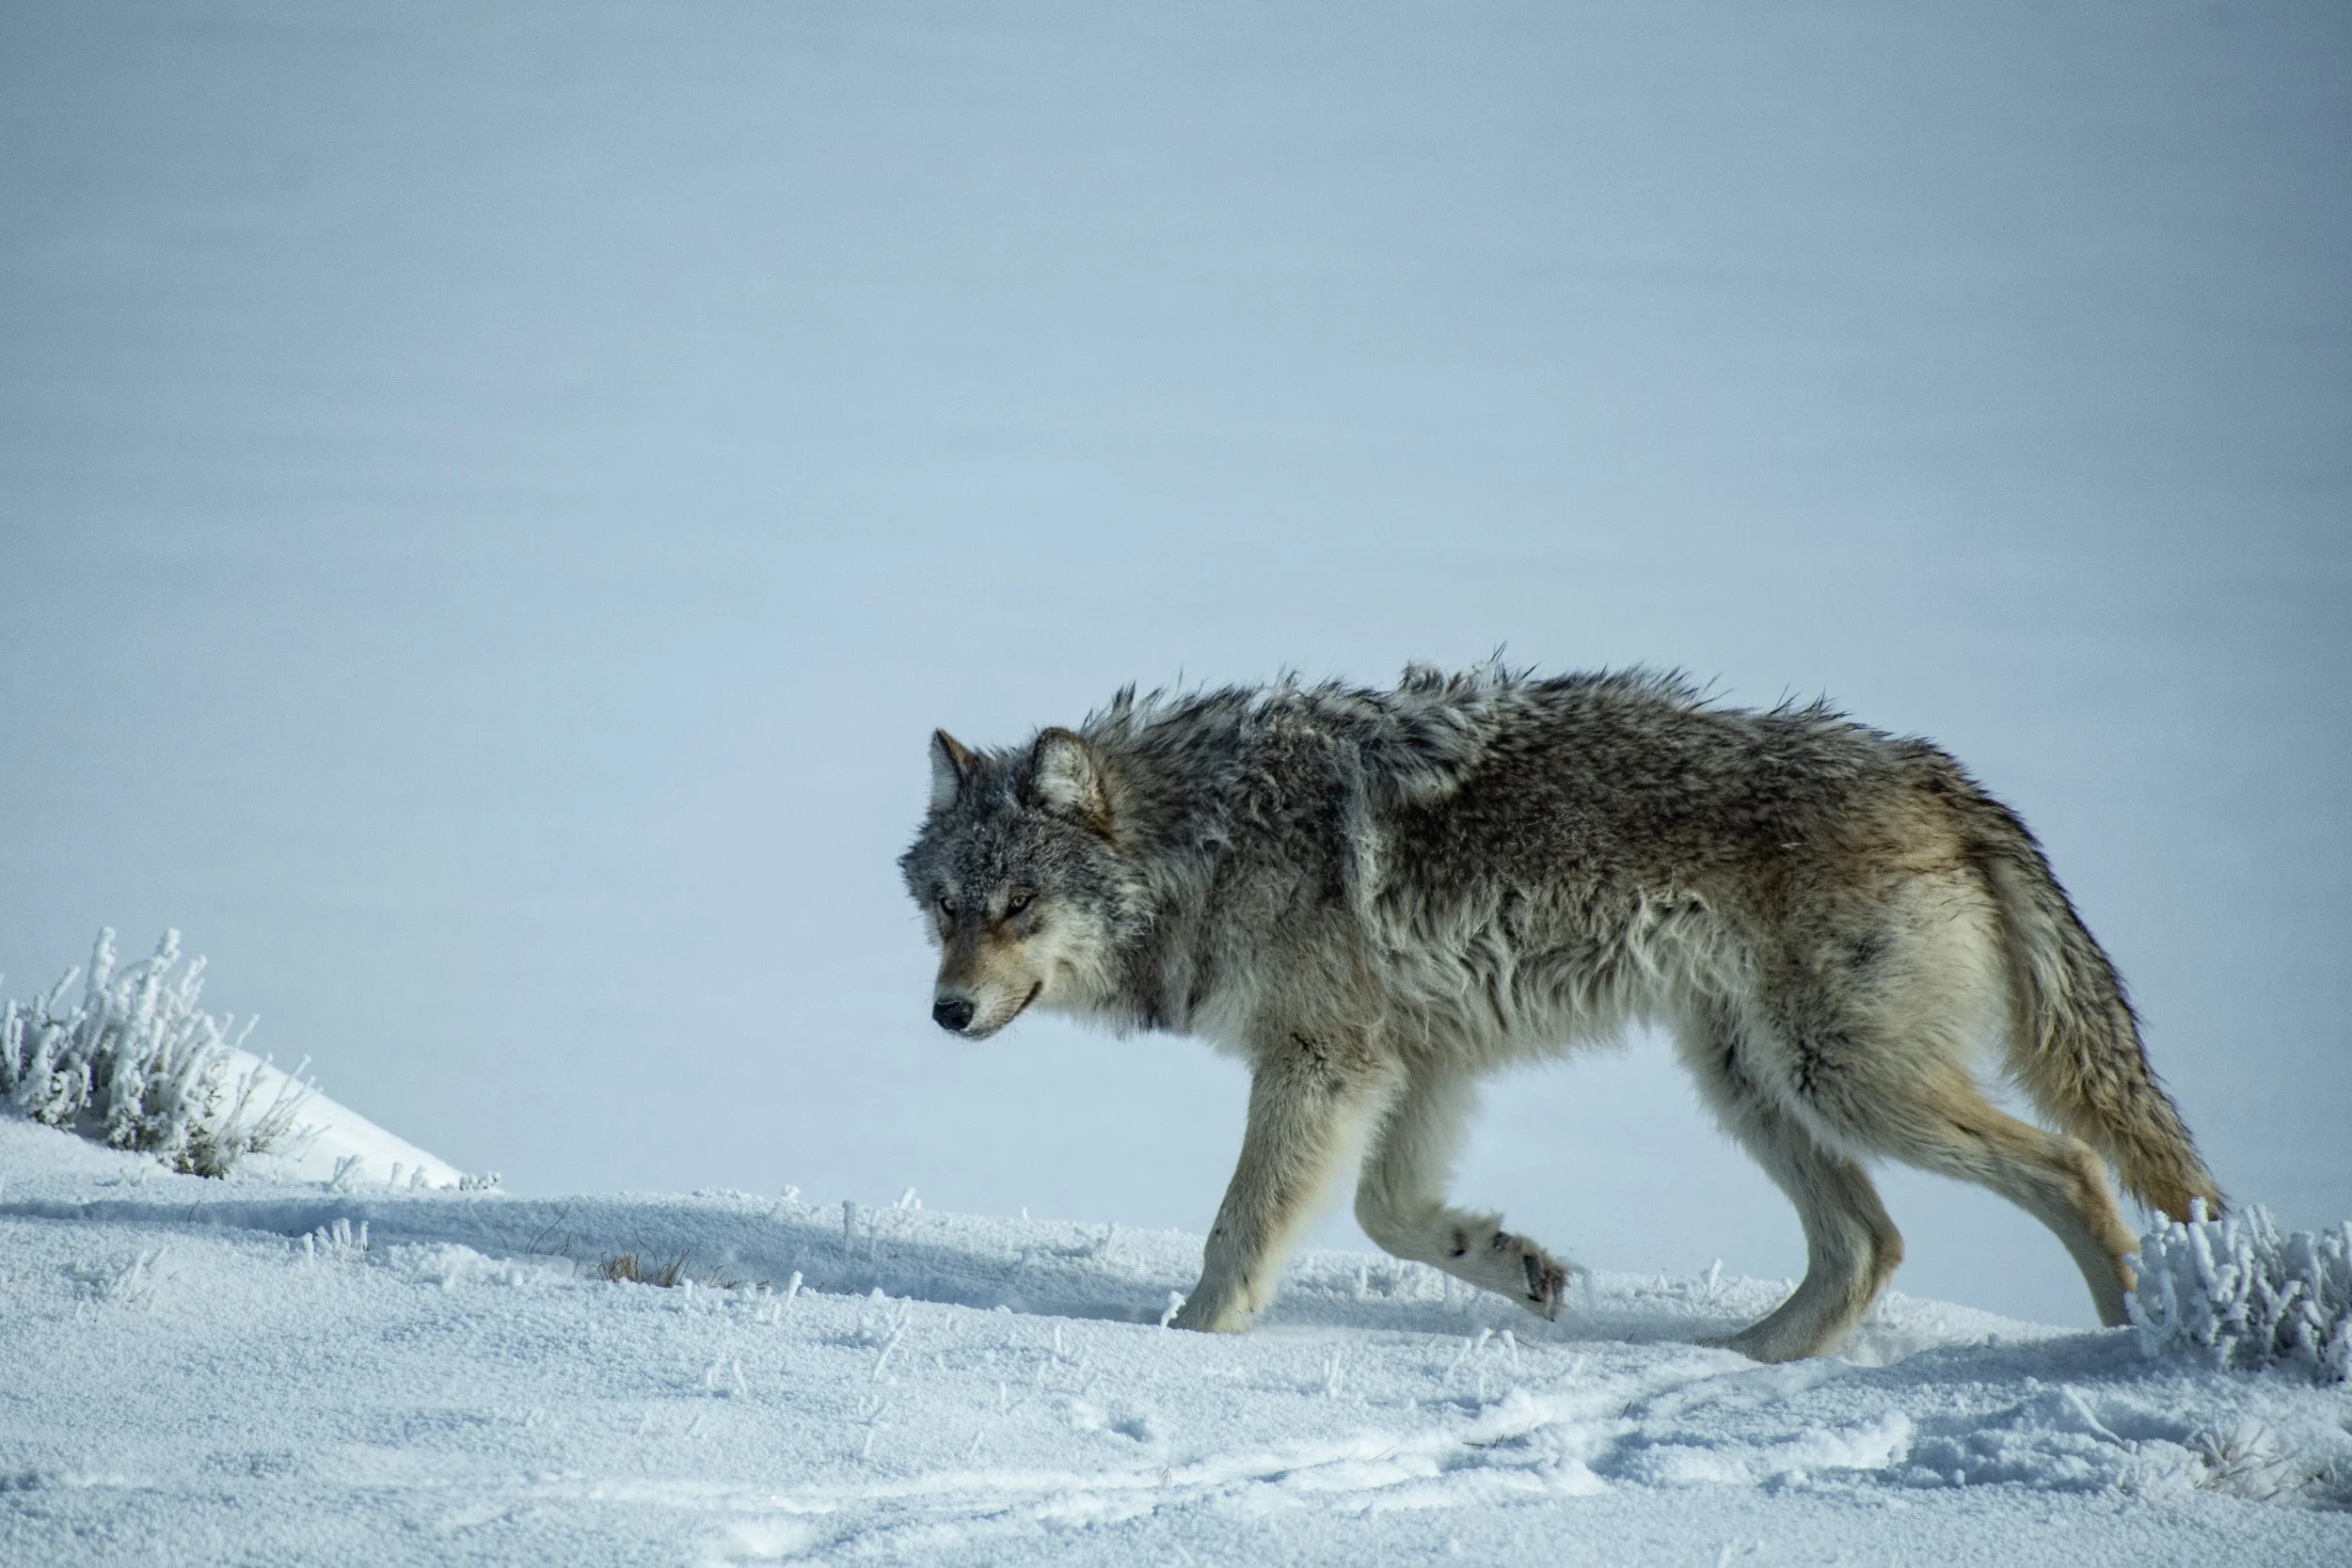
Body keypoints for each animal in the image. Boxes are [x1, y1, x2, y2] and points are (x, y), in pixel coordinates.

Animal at [898, 665, 2220, 1361]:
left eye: (1018, 906)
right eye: (946, 907)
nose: (946, 1011)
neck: (1212, 839)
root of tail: (1939, 775)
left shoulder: (1324, 1062)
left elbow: (1243, 1227)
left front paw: (1185, 1342)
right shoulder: (1417, 1063)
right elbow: (1387, 1214)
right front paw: (1513, 1262)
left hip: (1843, 1077)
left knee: (2069, 1169)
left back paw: (2138, 1345)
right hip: (1751, 1080)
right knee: (1869, 1242)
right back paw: (1737, 1366)